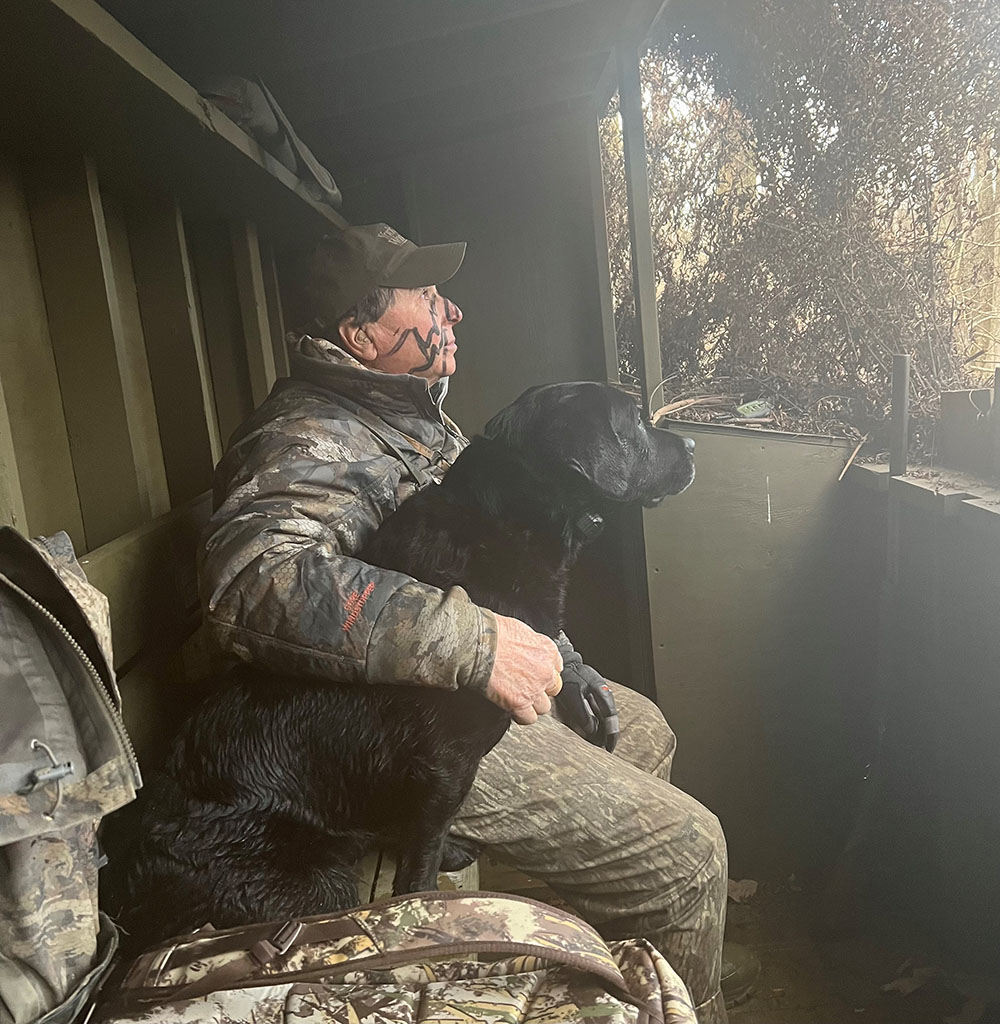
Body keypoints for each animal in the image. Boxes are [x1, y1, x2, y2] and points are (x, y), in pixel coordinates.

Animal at [107, 382, 687, 950]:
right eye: (636, 419)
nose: (691, 445)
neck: (511, 521)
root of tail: (127, 889)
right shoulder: (445, 761)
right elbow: (422, 854)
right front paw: (429, 902)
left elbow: (422, 830)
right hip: (314, 885)